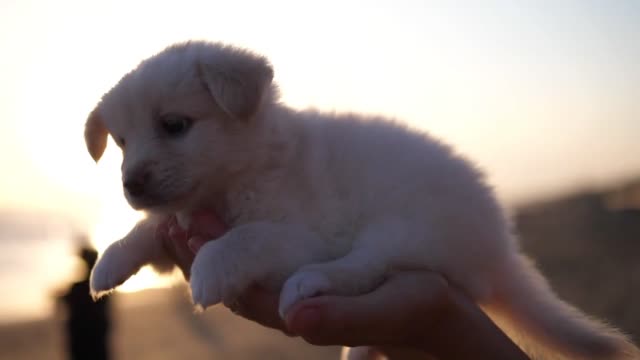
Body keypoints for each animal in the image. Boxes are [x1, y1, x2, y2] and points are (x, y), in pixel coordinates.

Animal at [84, 40, 636, 358]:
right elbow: (149, 229)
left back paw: (310, 285)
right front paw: (110, 262)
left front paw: (210, 270)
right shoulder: (181, 218)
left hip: (404, 229)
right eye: (122, 143)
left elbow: (243, 237)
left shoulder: (300, 234)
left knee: (365, 266)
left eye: (174, 125)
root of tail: (502, 250)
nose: (131, 184)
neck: (243, 171)